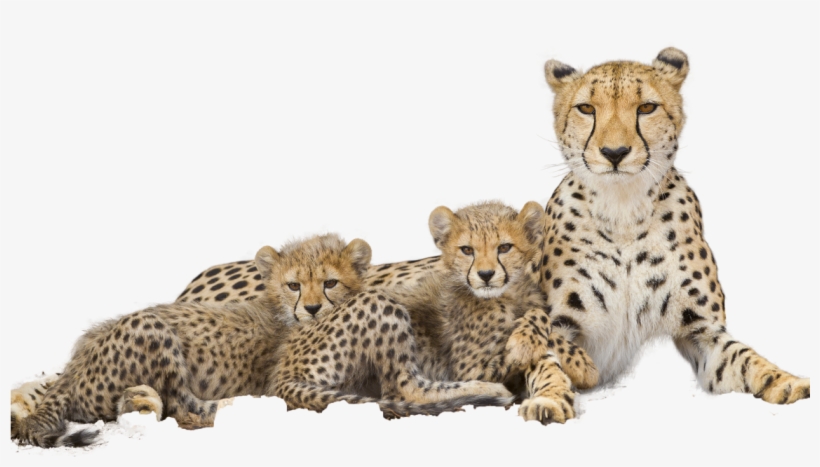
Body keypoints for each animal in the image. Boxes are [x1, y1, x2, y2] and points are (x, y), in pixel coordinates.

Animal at [11, 234, 373, 447]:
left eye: (330, 282)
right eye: (294, 285)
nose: (312, 309)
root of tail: (76, 362)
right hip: (151, 327)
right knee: (184, 407)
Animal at [538, 47, 809, 404]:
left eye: (646, 108)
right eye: (586, 108)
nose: (614, 152)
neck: (623, 210)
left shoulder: (702, 331)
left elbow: (745, 357)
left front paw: (784, 380)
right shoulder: (557, 323)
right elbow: (545, 358)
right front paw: (549, 398)